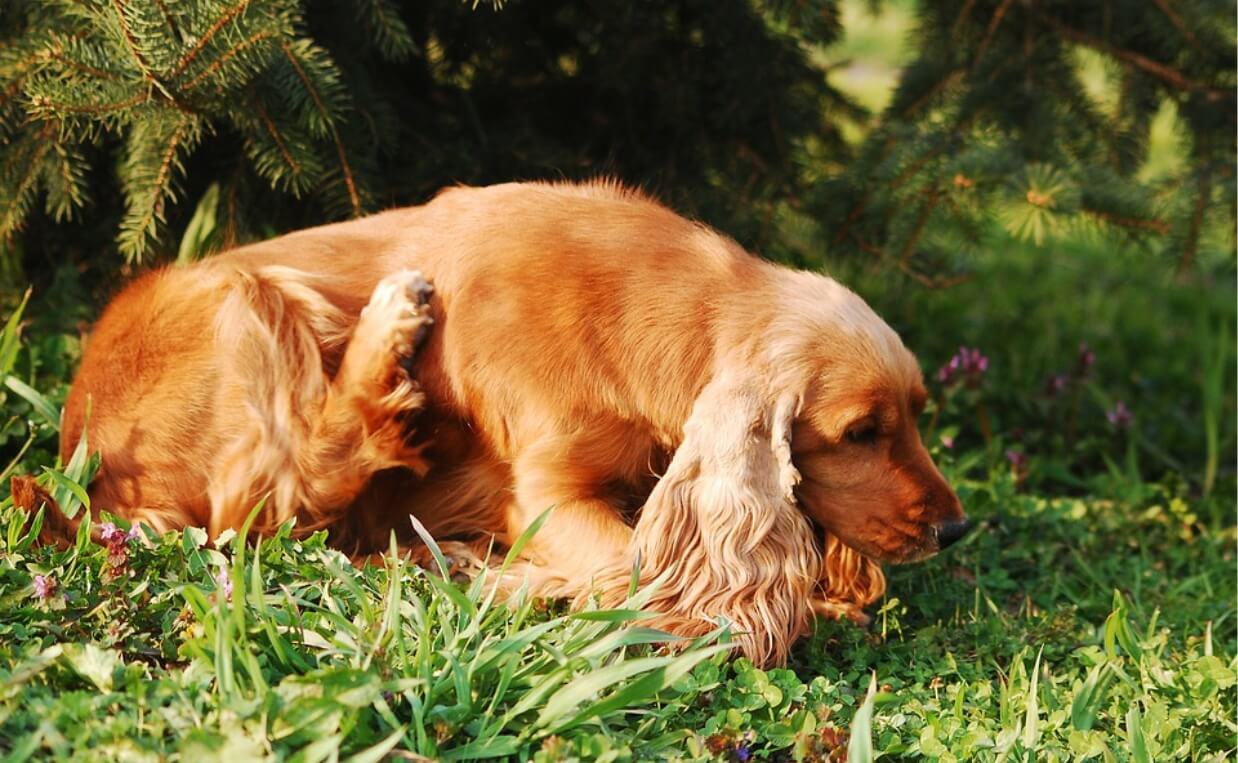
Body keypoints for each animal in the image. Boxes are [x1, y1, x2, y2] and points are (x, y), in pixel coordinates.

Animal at [55, 182, 965, 663]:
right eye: (860, 432)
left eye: (917, 415)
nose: (955, 529)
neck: (664, 314)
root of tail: (84, 461)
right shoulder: (545, 492)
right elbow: (633, 573)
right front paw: (499, 576)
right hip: (248, 296)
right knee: (284, 489)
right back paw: (392, 324)